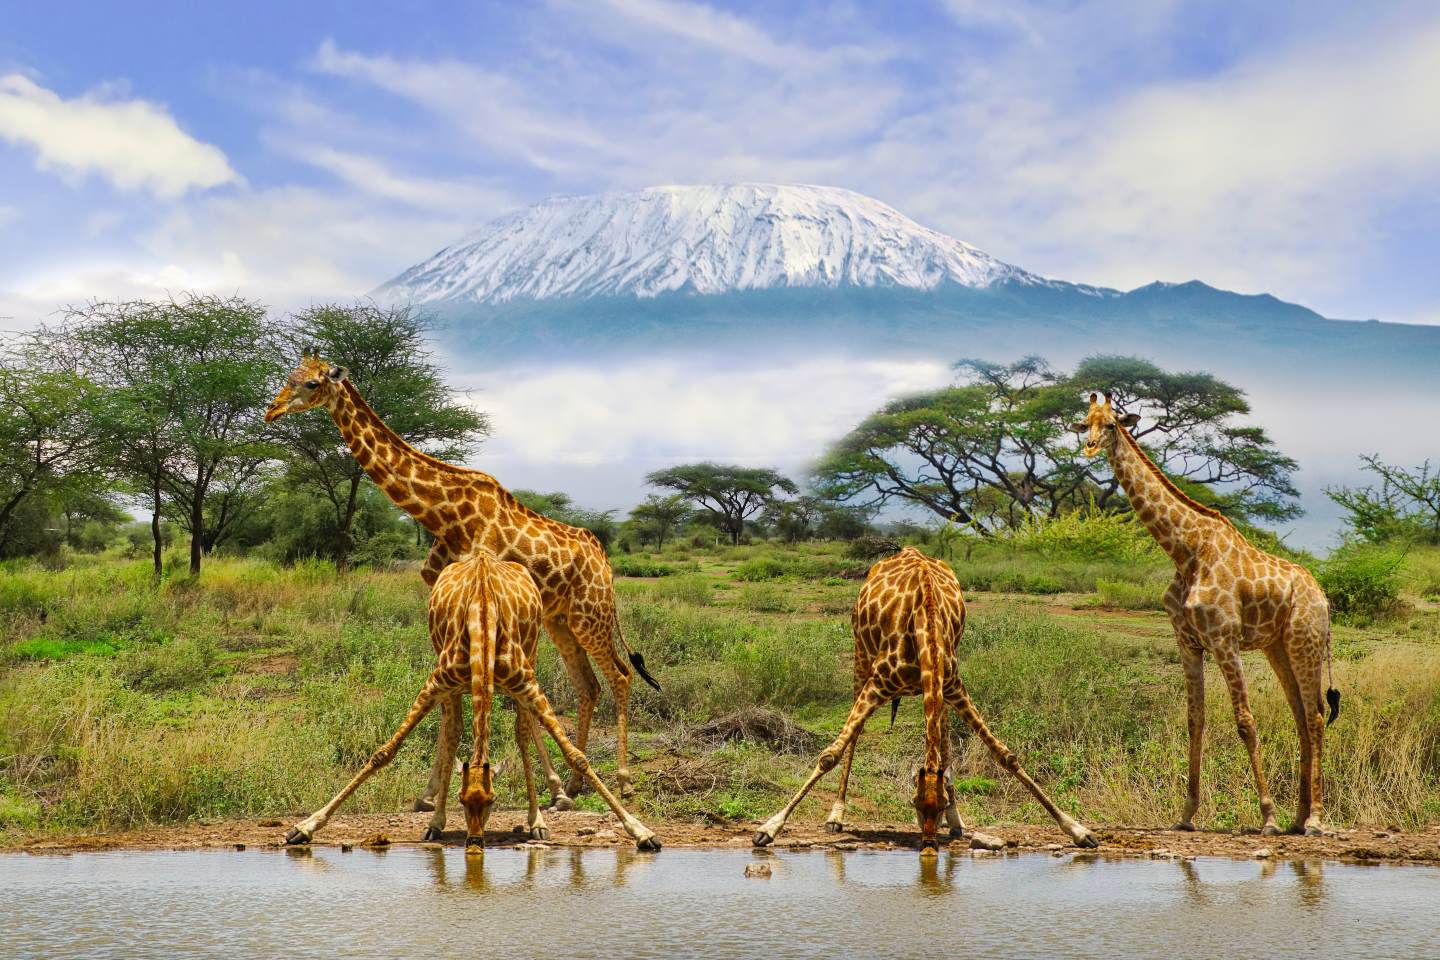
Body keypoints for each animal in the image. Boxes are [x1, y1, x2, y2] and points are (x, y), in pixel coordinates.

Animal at [265, 356, 659, 815]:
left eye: (311, 383)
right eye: (288, 377)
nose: (272, 410)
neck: (443, 513)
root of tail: (606, 562)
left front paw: (547, 786)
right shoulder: (445, 593)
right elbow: (453, 693)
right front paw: (430, 793)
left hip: (589, 615)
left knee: (620, 677)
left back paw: (623, 782)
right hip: (561, 619)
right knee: (588, 686)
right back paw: (578, 785)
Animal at [282, 549, 660, 851]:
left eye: (493, 800)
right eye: (462, 801)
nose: (474, 842)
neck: (483, 619)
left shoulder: (526, 683)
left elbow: (577, 757)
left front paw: (641, 832)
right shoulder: (437, 681)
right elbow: (384, 752)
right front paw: (304, 827)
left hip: (534, 655)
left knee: (523, 730)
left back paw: (537, 822)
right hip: (450, 678)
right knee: (452, 730)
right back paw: (435, 822)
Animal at [752, 546, 1098, 853]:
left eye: (938, 804)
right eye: (915, 804)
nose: (930, 845)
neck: (925, 624)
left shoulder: (954, 687)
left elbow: (1005, 756)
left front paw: (1079, 830)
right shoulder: (878, 684)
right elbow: (829, 755)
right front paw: (769, 828)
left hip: (938, 692)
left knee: (942, 739)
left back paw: (958, 822)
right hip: (860, 657)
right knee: (855, 735)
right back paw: (836, 815)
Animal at [1071, 392, 1339, 836]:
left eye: (1111, 424)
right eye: (1084, 423)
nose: (1089, 447)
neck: (1185, 551)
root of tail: (1321, 595)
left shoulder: (1224, 639)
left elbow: (1245, 721)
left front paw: (1267, 817)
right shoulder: (1188, 641)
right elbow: (1194, 720)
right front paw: (1186, 814)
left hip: (1306, 640)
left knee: (1316, 716)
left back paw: (1315, 819)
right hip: (1277, 647)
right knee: (1301, 716)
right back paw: (1299, 818)